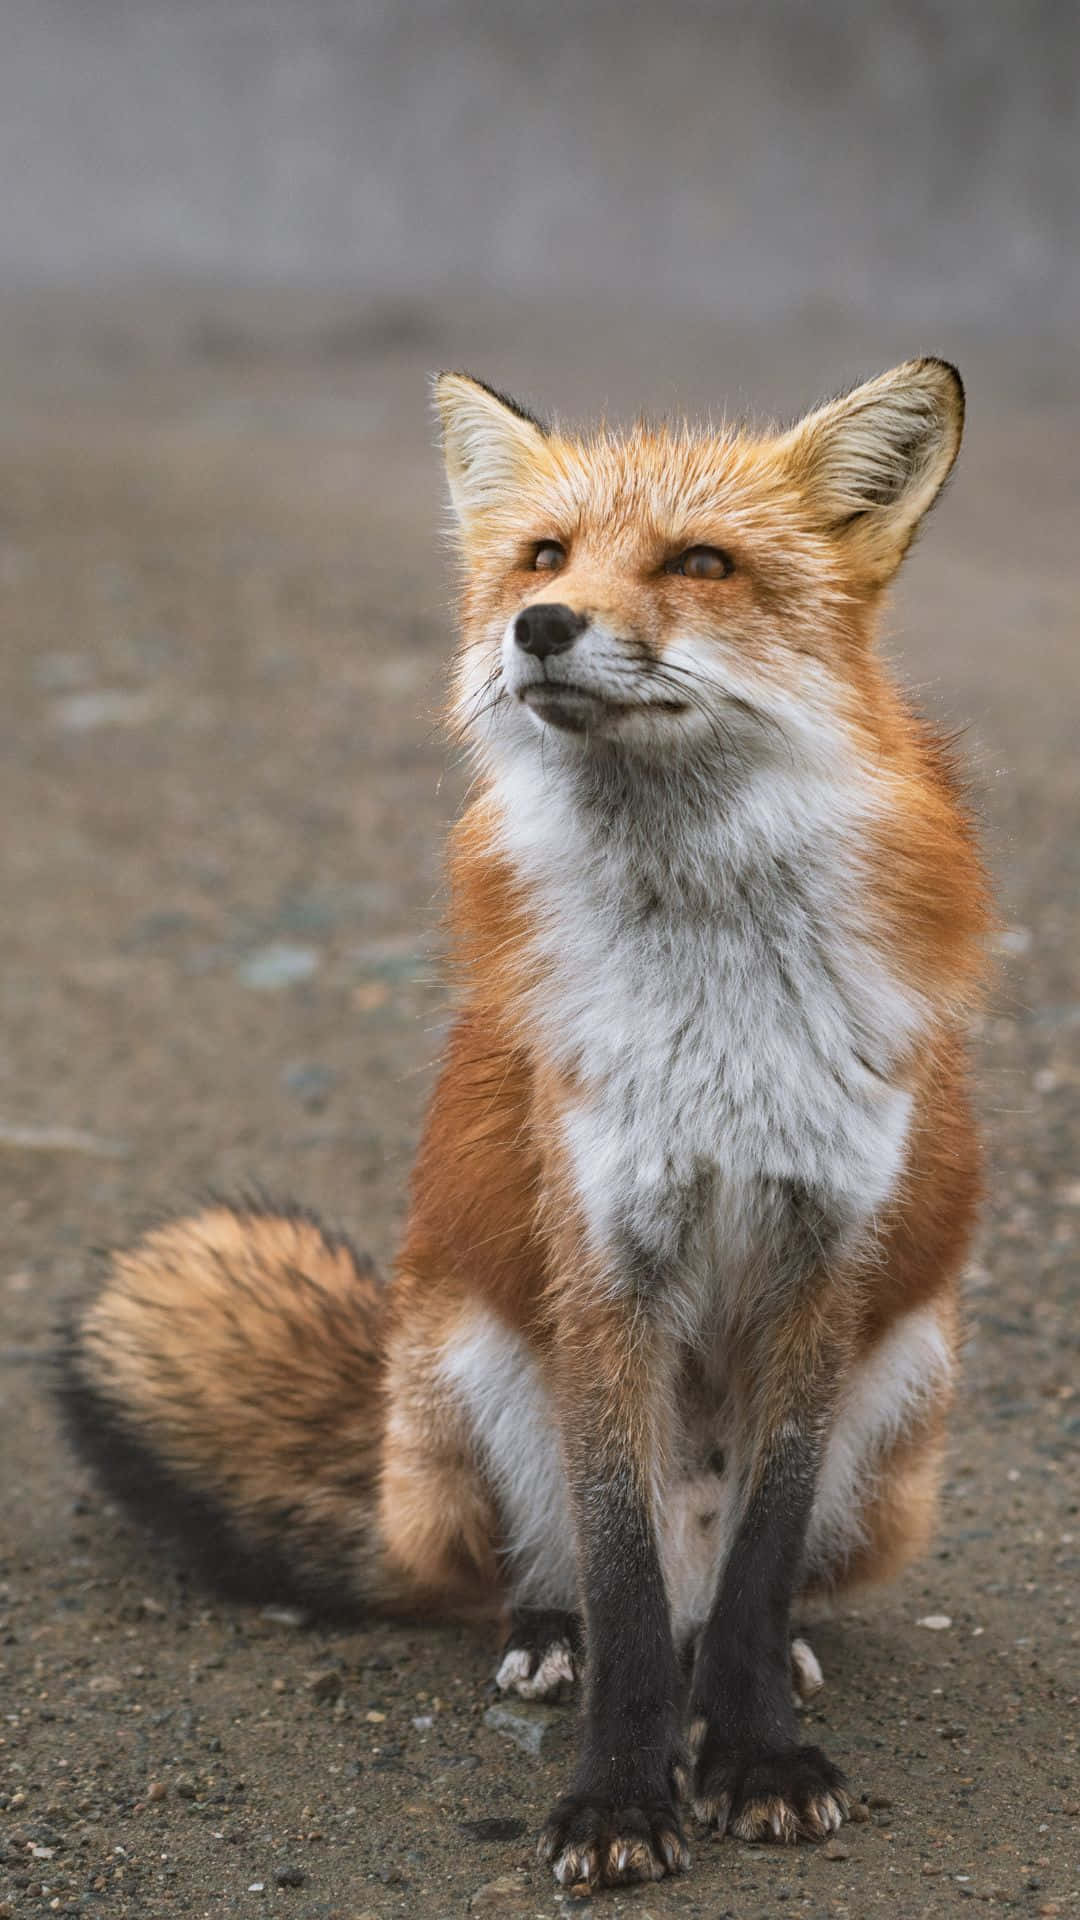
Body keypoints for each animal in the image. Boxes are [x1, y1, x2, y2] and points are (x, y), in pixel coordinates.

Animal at [59, 358, 989, 1892]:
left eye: (700, 564)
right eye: (547, 556)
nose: (538, 627)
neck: (712, 990)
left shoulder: (823, 1256)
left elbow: (757, 1568)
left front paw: (753, 1755)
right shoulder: (603, 1255)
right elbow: (618, 1579)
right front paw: (620, 1794)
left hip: (903, 1383)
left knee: (728, 1587)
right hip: (476, 1365)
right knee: (559, 1580)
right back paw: (548, 1638)